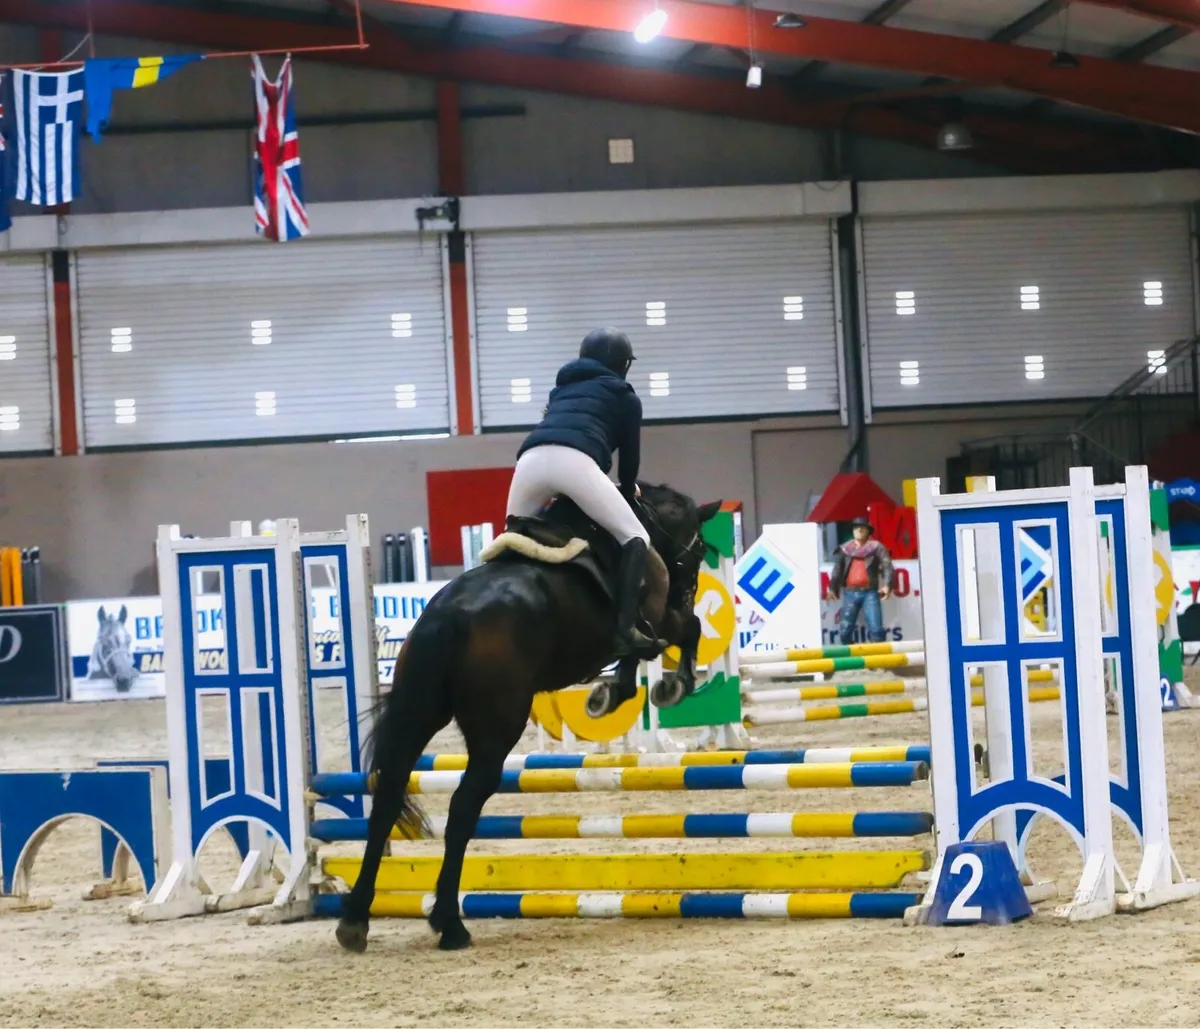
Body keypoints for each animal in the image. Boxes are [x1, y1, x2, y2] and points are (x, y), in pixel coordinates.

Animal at [335, 481, 722, 953]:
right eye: (699, 548)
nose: (688, 588)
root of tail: (447, 616)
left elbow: (642, 653)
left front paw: (609, 693)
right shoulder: (660, 617)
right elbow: (689, 629)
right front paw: (672, 685)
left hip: (419, 712)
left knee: (388, 798)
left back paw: (356, 919)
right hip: (497, 729)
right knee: (462, 809)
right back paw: (449, 923)